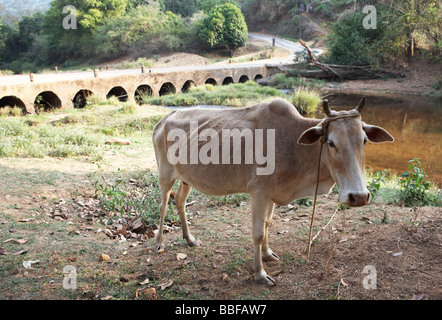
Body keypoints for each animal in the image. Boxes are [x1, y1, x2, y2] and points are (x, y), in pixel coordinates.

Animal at [152, 97, 394, 284]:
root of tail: (164, 118)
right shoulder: (259, 192)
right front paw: (260, 274)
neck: (294, 145)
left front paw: (268, 254)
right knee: (163, 206)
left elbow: (268, 224)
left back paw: (190, 239)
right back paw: (158, 243)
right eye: (331, 142)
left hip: (186, 178)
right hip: (164, 174)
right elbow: (258, 233)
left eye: (364, 140)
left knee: (180, 202)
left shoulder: (271, 194)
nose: (359, 196)